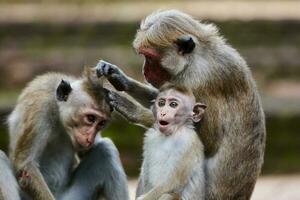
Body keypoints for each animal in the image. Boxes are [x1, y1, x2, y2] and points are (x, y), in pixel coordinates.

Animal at [0, 68, 129, 199]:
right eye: (91, 118)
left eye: (101, 123)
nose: (89, 138)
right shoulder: (41, 108)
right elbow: (26, 165)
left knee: (106, 148)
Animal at [95, 9, 264, 200]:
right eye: (144, 56)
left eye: (149, 57)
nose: (144, 71)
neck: (195, 57)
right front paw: (120, 78)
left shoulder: (198, 81)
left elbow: (209, 142)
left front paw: (135, 111)